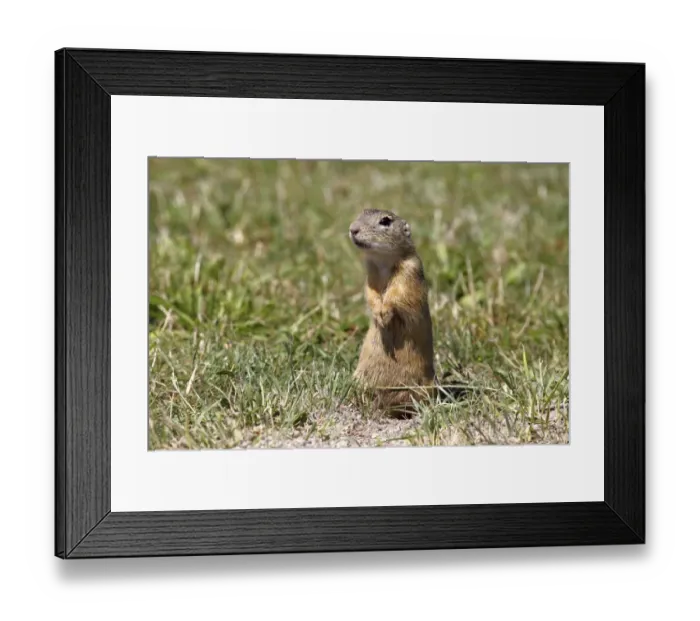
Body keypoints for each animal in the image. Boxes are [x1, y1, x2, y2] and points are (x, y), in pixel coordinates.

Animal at [348, 208, 436, 415]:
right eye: (360, 213)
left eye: (385, 221)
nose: (352, 229)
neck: (382, 262)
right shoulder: (370, 274)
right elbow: (371, 293)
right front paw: (378, 313)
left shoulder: (409, 270)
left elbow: (398, 293)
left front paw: (385, 313)